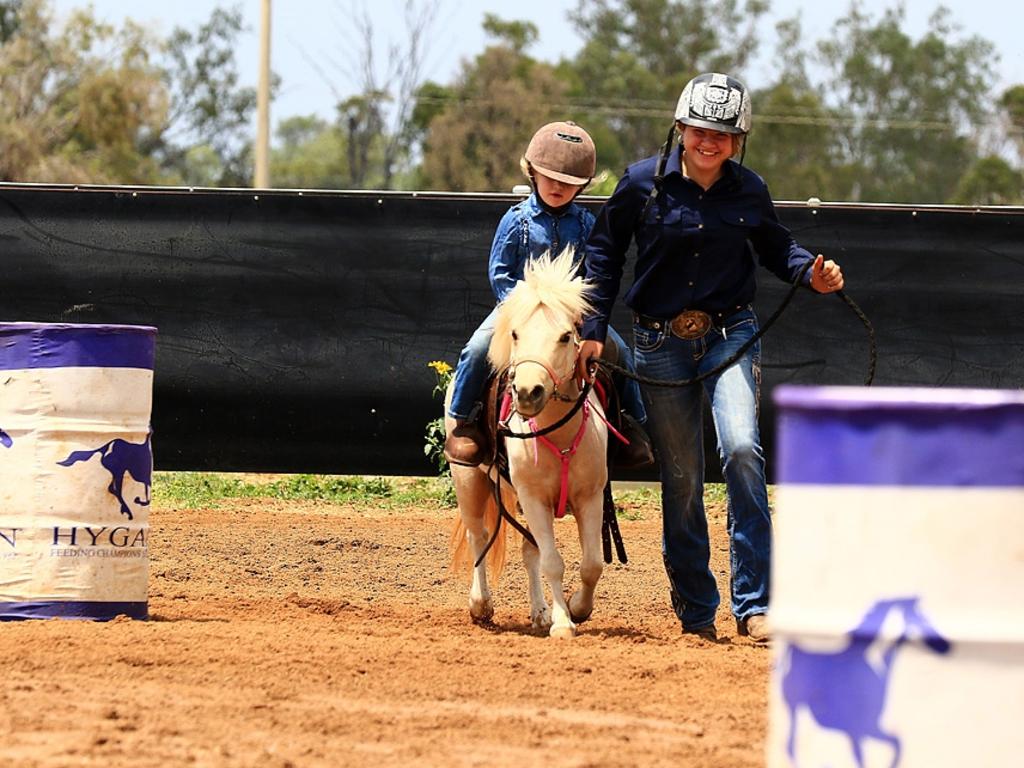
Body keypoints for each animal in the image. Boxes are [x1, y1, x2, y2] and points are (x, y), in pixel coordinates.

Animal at [444, 249, 602, 638]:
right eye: (515, 333)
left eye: (565, 336)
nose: (528, 392)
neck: (556, 435)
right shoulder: (533, 498)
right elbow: (553, 562)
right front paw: (563, 623)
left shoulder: (590, 497)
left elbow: (591, 563)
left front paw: (576, 609)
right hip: (468, 479)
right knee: (479, 535)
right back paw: (481, 605)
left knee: (529, 550)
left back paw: (539, 612)